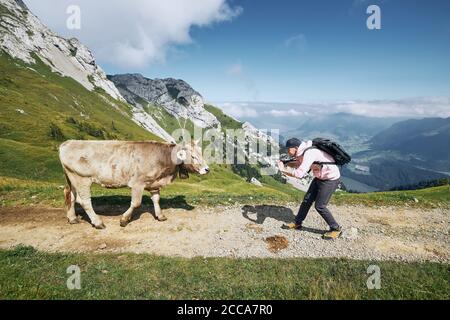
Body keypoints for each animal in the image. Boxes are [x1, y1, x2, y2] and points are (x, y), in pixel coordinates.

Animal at [57, 139, 209, 228]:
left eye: (201, 153)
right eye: (193, 156)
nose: (207, 169)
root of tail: (68, 142)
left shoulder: (153, 183)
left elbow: (156, 200)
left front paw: (160, 216)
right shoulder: (138, 183)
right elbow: (136, 203)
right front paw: (124, 220)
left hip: (71, 177)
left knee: (70, 195)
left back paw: (72, 218)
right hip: (81, 178)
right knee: (84, 201)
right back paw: (98, 222)